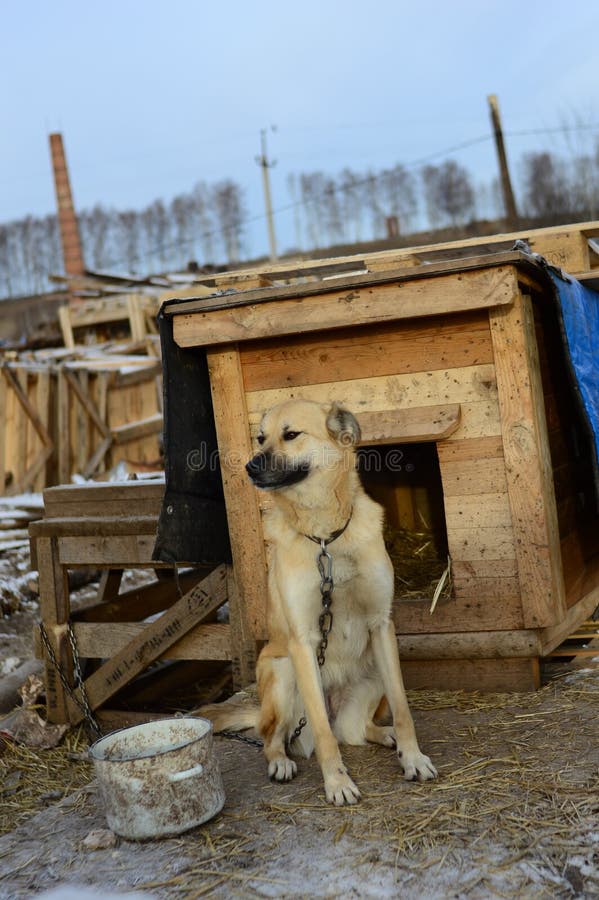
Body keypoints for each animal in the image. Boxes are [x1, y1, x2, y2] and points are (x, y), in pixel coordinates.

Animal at [202, 398, 436, 804]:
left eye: (291, 434)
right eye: (261, 438)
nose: (250, 466)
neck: (326, 538)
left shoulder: (382, 624)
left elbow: (404, 709)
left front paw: (413, 758)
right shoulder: (303, 641)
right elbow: (325, 735)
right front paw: (337, 783)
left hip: (376, 667)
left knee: (354, 730)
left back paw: (385, 734)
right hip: (281, 672)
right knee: (274, 736)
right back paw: (281, 762)